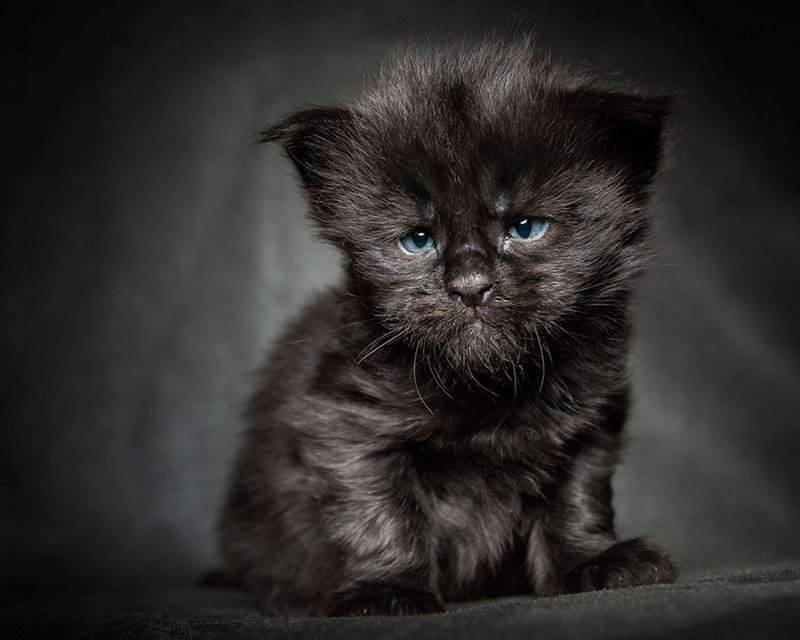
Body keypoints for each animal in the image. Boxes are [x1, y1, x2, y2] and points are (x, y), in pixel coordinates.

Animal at [216, 37, 680, 616]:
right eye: (417, 240)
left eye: (525, 228)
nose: (470, 285)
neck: (491, 388)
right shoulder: (348, 426)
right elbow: (384, 512)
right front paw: (388, 589)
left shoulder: (589, 423)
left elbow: (576, 497)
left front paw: (591, 563)